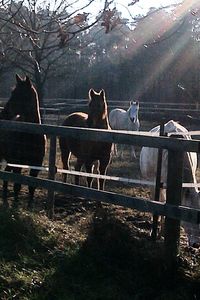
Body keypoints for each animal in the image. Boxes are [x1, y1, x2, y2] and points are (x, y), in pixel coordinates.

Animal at [0, 74, 45, 207]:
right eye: (12, 92)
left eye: (20, 94)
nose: (3, 113)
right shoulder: (18, 163)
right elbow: (17, 185)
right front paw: (15, 204)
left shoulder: (36, 164)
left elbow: (31, 186)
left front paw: (30, 206)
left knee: (6, 173)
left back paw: (5, 196)